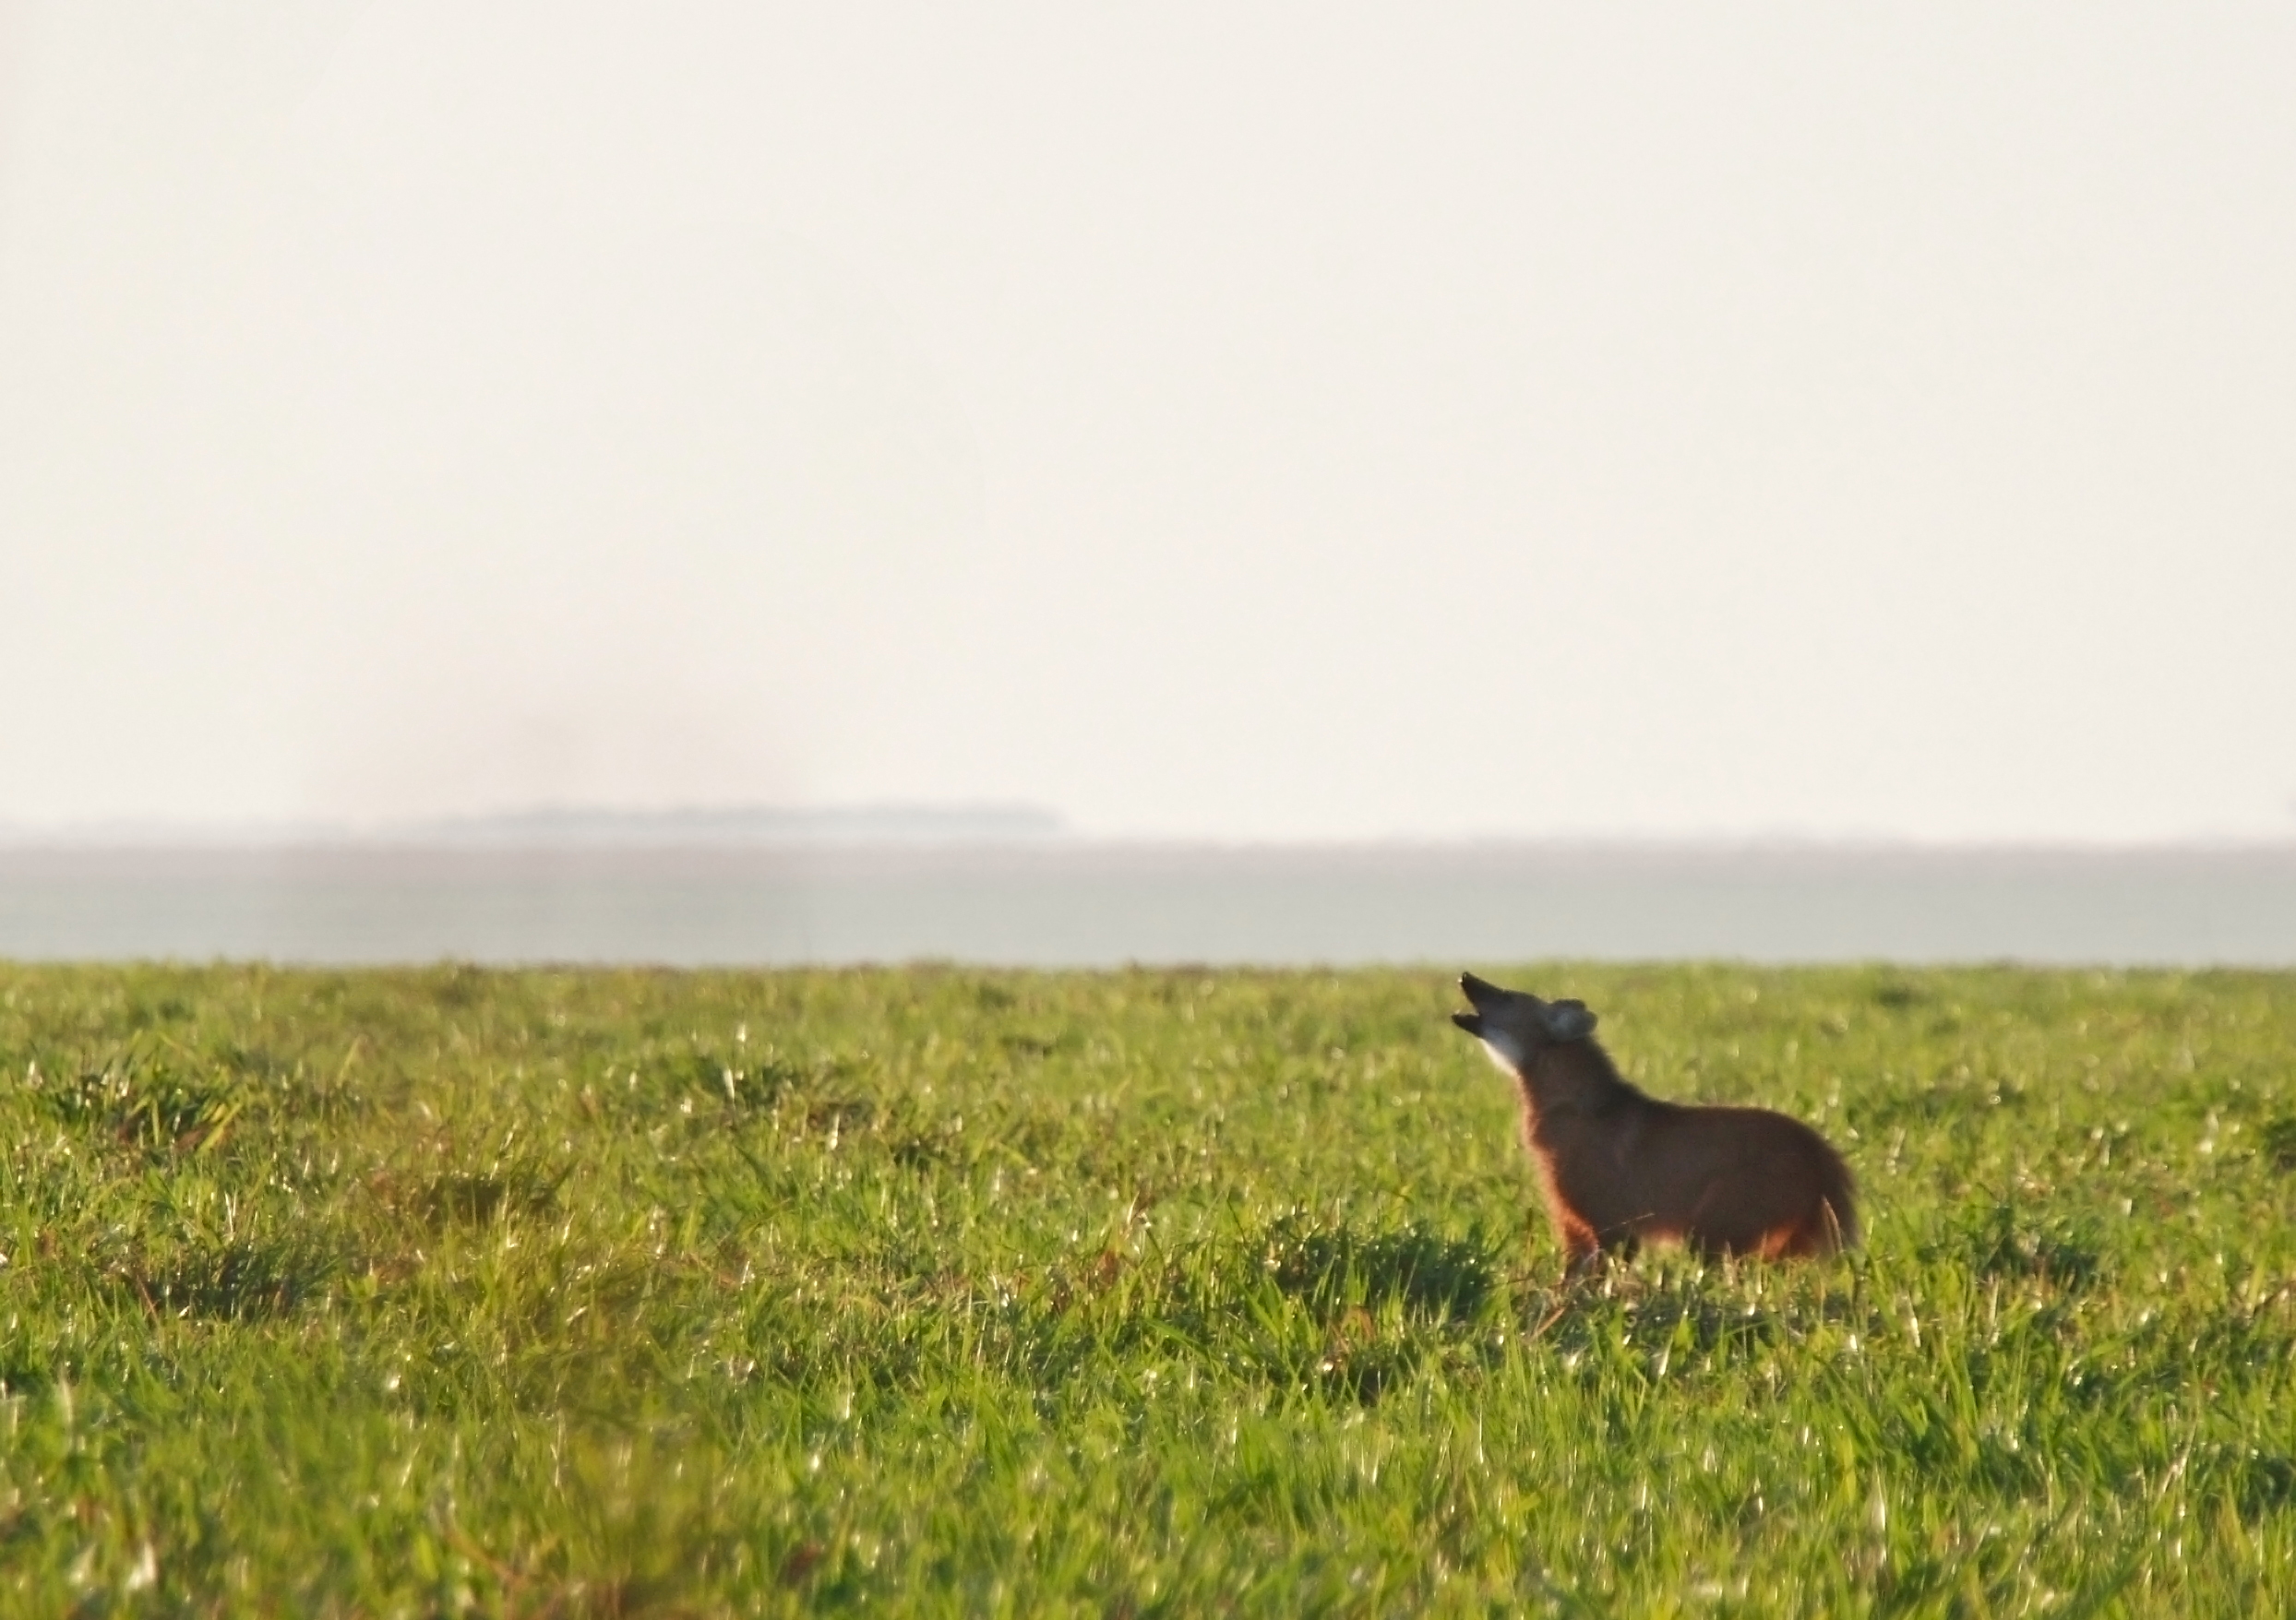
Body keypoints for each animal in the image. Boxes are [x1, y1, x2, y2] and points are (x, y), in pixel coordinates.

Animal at [1452, 973, 1857, 1274]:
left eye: (1505, 996)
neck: (1573, 1111)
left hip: (1711, 1229)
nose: (1465, 976)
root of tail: (1823, 1152)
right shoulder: (1576, 1227)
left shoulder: (1612, 1225)